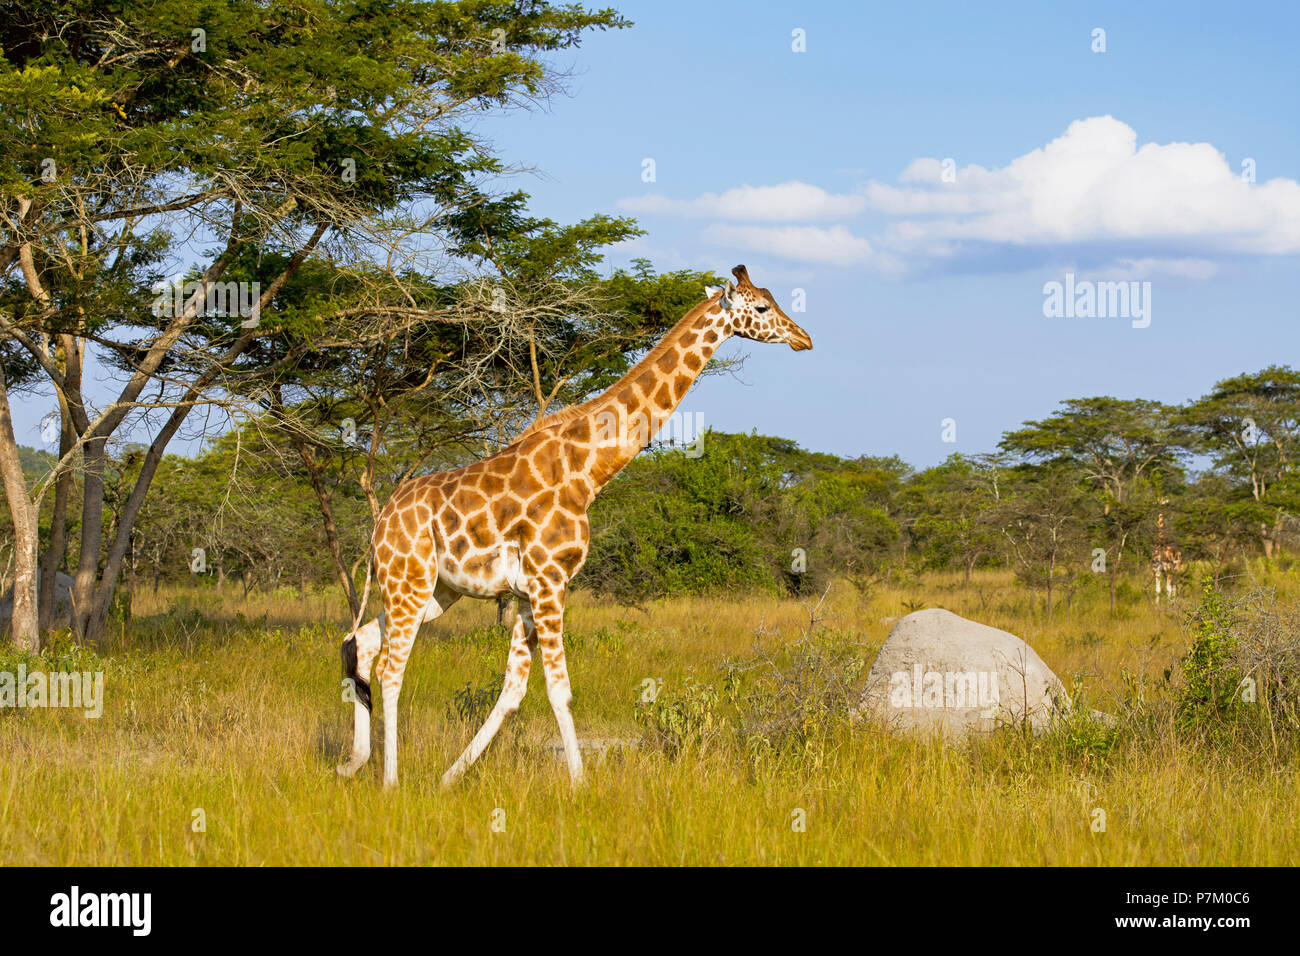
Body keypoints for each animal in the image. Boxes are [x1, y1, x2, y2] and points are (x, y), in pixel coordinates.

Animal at [335, 265, 811, 790]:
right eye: (762, 307)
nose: (804, 338)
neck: (587, 471)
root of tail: (379, 524)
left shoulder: (528, 591)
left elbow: (513, 691)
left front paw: (449, 778)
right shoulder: (550, 581)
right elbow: (559, 689)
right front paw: (579, 786)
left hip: (435, 591)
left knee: (359, 642)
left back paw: (352, 762)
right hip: (409, 581)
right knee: (390, 668)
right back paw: (390, 781)